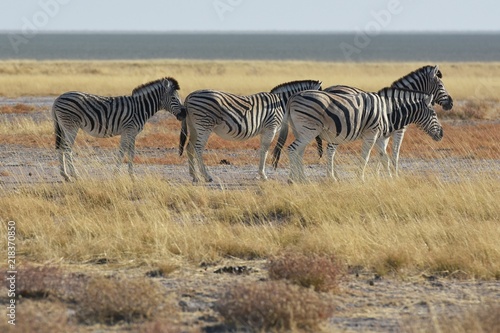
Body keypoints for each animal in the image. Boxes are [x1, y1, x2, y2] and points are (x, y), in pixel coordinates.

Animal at [51, 77, 185, 182]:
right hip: (71, 126)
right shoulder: (128, 130)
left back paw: (65, 176)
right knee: (67, 149)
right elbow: (122, 152)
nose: (184, 114)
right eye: (174, 98)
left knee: (62, 147)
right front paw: (116, 174)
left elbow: (131, 152)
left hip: (64, 127)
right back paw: (75, 175)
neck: (140, 108)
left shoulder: (132, 133)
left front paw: (132, 176)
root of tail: (58, 98)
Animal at [178, 79, 322, 182]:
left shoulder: (264, 130)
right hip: (204, 125)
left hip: (194, 127)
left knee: (190, 147)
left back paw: (195, 176)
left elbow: (263, 150)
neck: (281, 103)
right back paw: (206, 176)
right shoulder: (271, 128)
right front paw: (263, 175)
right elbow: (265, 150)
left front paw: (260, 174)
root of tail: (189, 96)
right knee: (198, 148)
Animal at [274, 87, 446, 182]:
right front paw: (361, 178)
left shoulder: (380, 138)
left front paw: (391, 178)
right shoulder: (372, 134)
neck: (388, 112)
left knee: (299, 153)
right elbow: (366, 157)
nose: (442, 134)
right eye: (433, 113)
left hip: (301, 130)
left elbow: (384, 158)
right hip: (309, 129)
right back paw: (294, 180)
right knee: (292, 150)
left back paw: (301, 179)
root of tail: (292, 97)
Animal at [320, 66, 454, 178]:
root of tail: (328, 89)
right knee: (331, 150)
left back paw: (335, 176)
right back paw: (332, 177)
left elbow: (382, 153)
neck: (395, 105)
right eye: (441, 85)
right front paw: (394, 174)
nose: (451, 104)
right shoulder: (398, 131)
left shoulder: (384, 134)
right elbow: (395, 153)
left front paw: (378, 175)